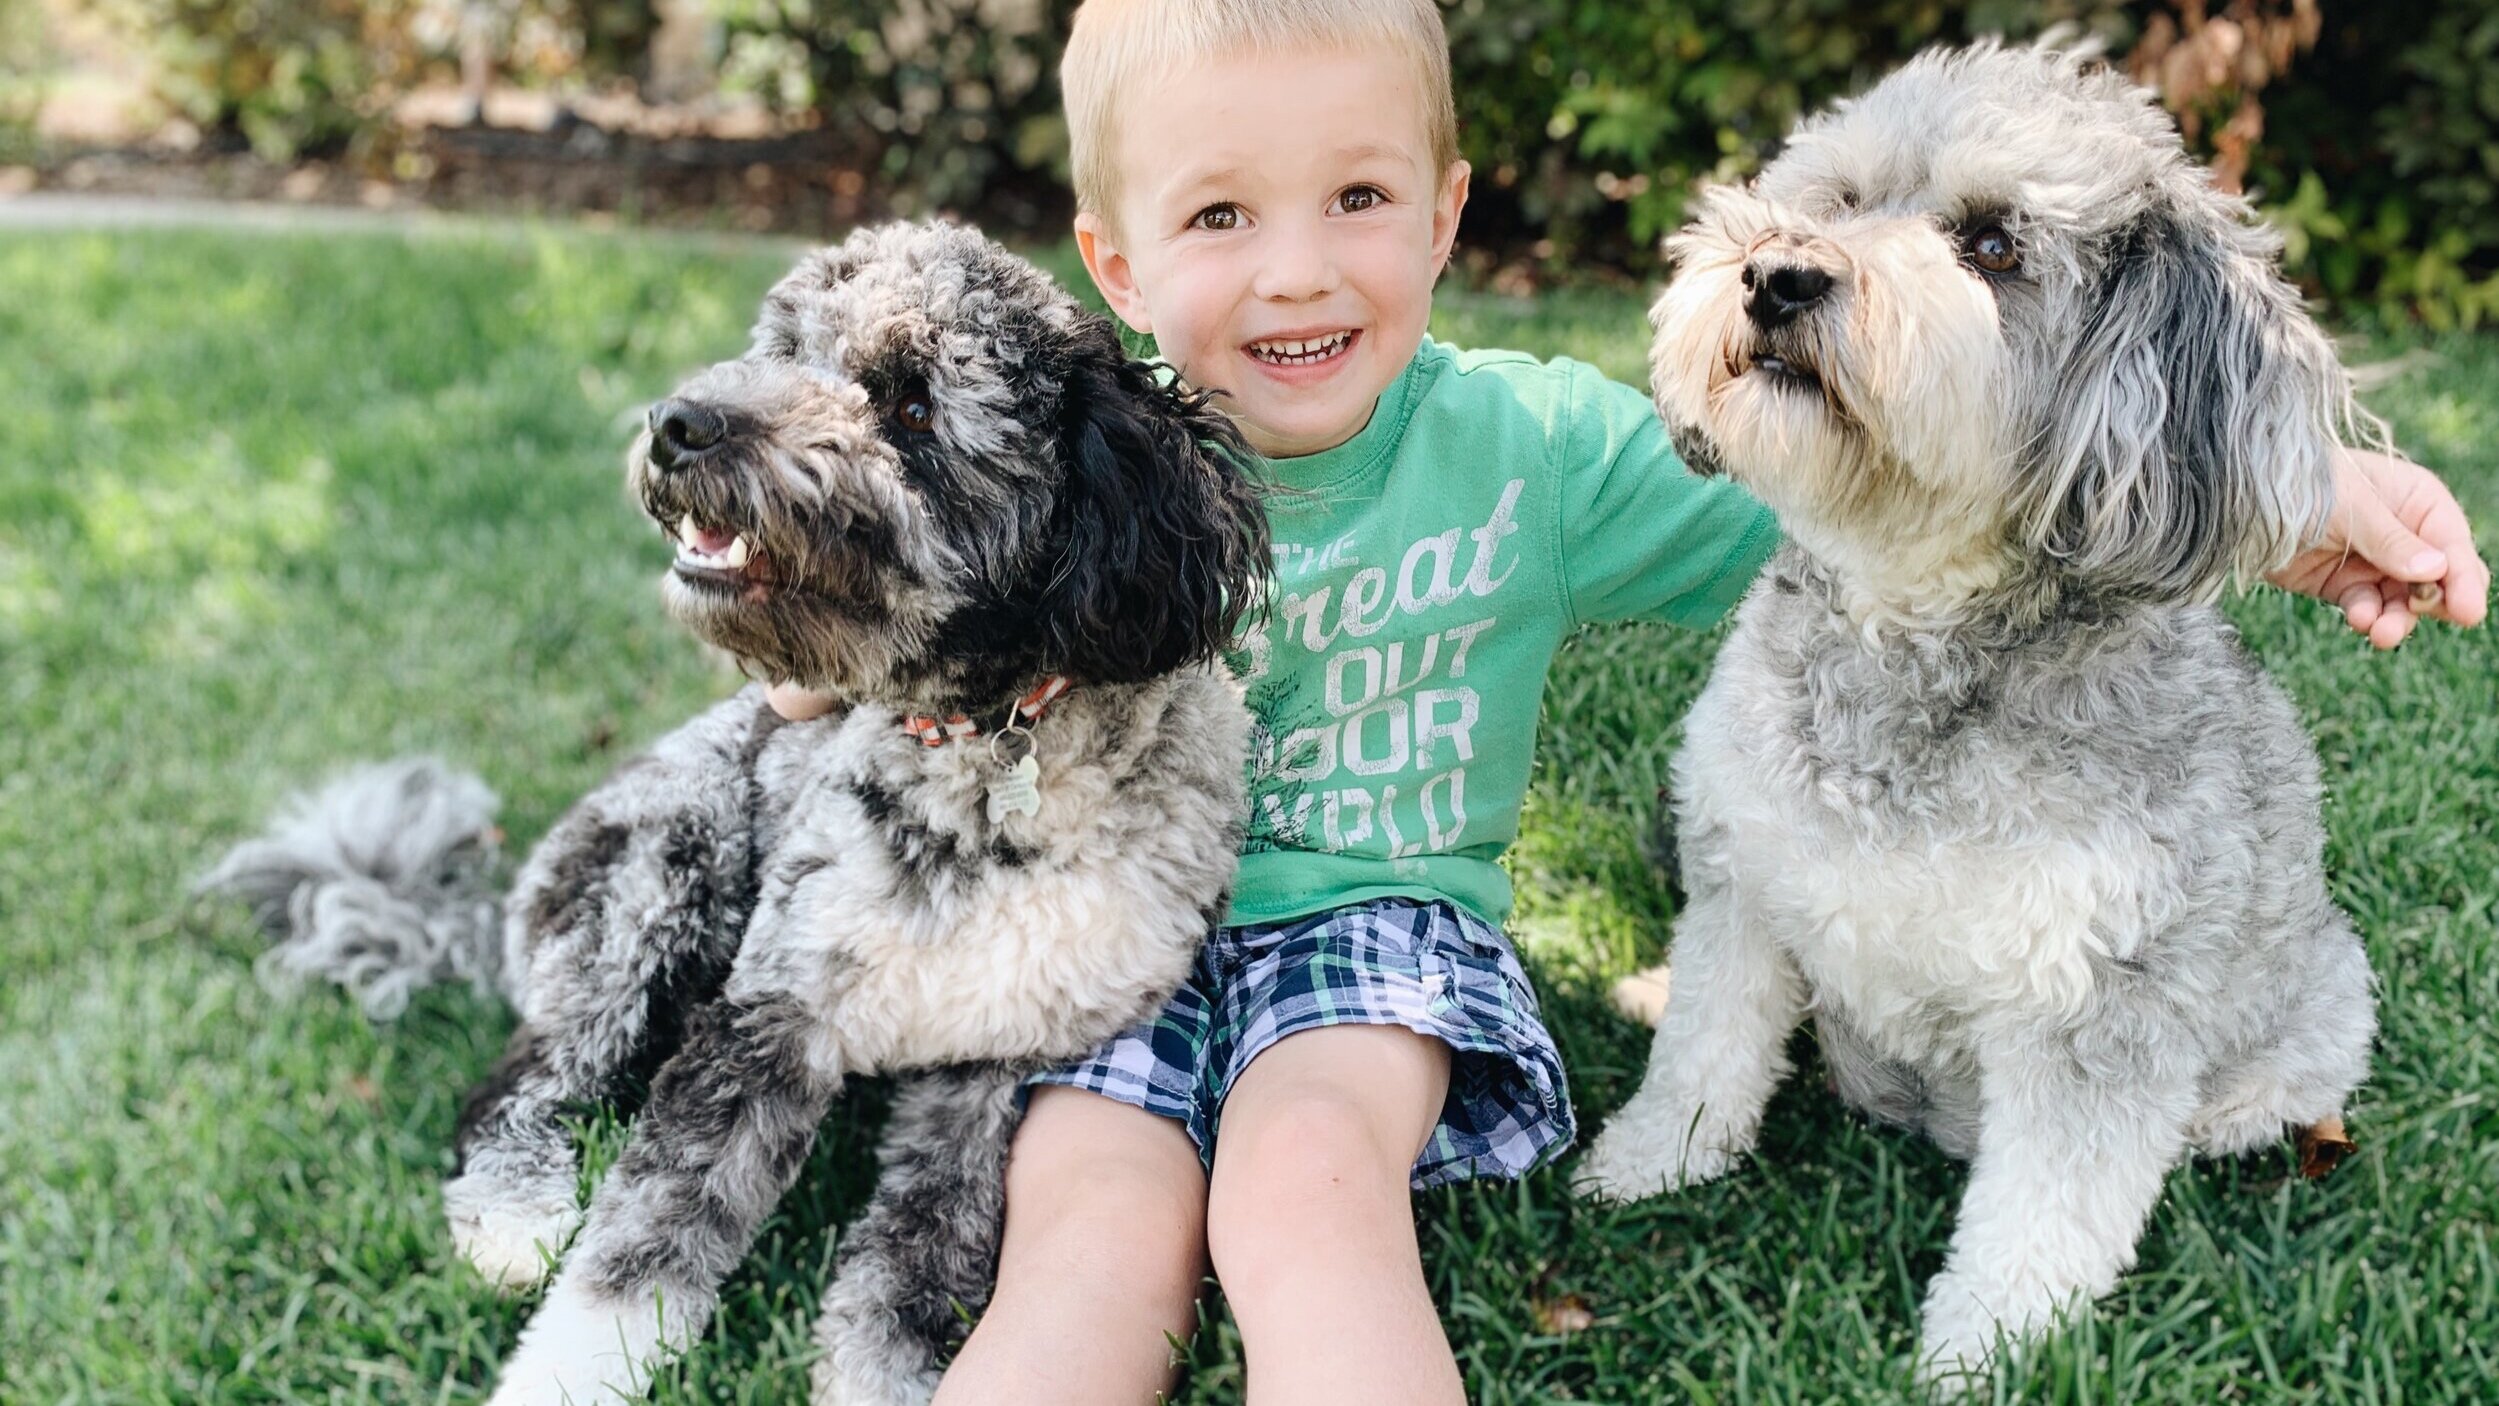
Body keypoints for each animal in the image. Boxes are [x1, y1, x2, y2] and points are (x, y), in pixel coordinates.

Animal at [207, 222, 1269, 1406]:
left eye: (911, 404)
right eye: (784, 348)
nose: (679, 424)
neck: (988, 763)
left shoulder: (993, 1075)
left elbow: (915, 1269)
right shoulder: (769, 1018)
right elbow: (644, 1241)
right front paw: (568, 1370)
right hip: (660, 876)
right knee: (524, 1077)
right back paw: (516, 1213)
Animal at [1579, 41, 2379, 1388]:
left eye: (1995, 245)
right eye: (1842, 198)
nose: (1778, 273)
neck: (1907, 637)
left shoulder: (2104, 1004)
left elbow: (2049, 1205)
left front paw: (1990, 1351)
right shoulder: (1745, 882)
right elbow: (1707, 1047)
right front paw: (1649, 1160)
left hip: (2321, 1018)